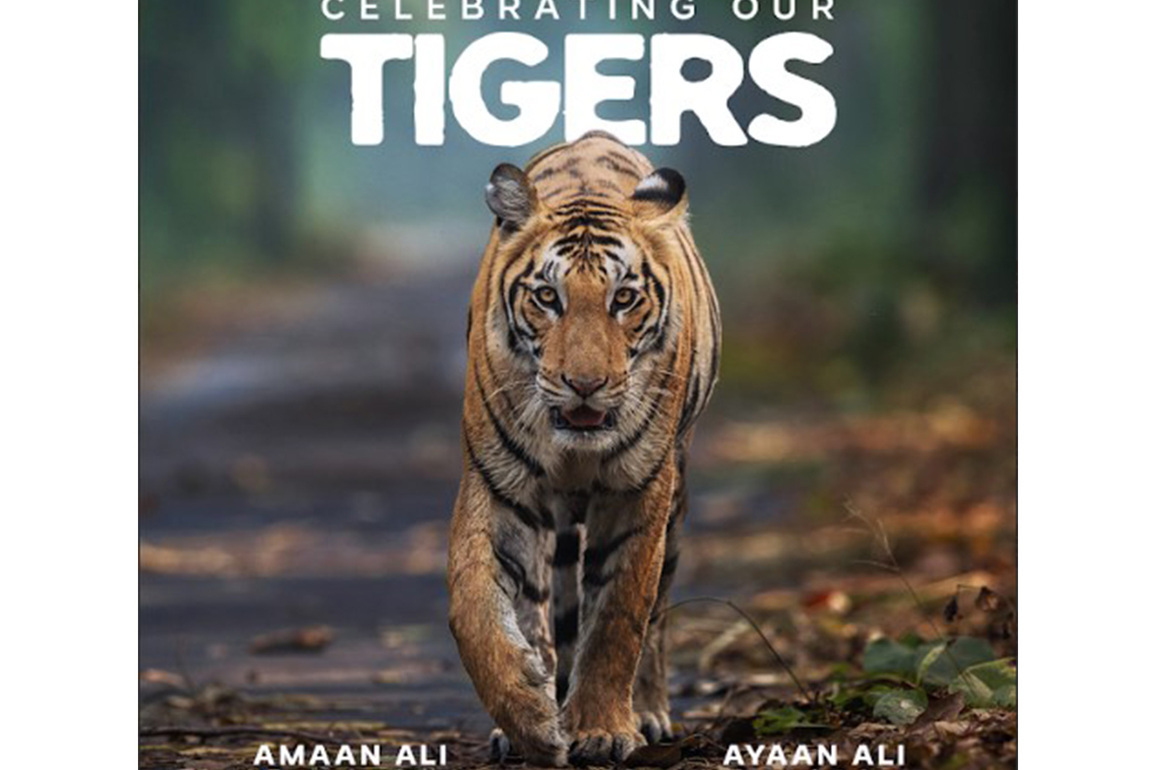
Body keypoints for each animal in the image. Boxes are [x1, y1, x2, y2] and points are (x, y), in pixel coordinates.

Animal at [446, 130, 720, 767]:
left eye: (624, 298)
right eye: (548, 296)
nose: (585, 384)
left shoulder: (638, 493)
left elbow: (619, 616)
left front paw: (601, 729)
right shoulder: (498, 484)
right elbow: (474, 607)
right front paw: (529, 717)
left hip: (676, 496)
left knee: (655, 613)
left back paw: (646, 712)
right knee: (546, 602)